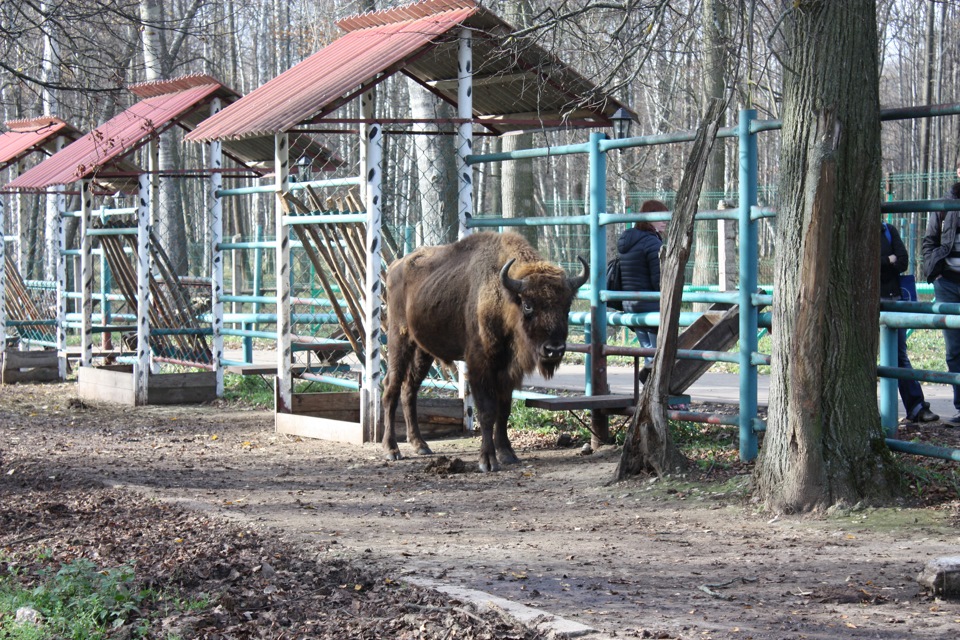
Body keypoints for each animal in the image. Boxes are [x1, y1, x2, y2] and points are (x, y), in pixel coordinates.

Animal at [378, 230, 588, 470]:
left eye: (567, 306)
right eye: (528, 305)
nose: (554, 349)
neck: (504, 296)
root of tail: (395, 266)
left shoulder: (508, 371)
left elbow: (504, 411)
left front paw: (507, 454)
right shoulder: (480, 366)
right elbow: (487, 411)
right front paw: (487, 461)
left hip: (424, 351)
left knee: (409, 389)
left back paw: (420, 445)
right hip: (399, 338)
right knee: (391, 387)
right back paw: (391, 449)